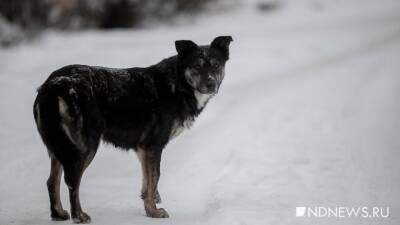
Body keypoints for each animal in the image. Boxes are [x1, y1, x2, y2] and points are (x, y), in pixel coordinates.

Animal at [32, 36, 233, 222]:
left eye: (216, 66)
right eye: (197, 66)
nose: (211, 84)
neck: (178, 84)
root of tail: (56, 84)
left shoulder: (143, 149)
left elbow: (148, 181)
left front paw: (149, 206)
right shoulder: (153, 146)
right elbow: (155, 177)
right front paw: (154, 212)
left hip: (60, 145)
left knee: (52, 181)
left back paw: (58, 213)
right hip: (84, 146)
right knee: (73, 180)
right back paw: (79, 215)